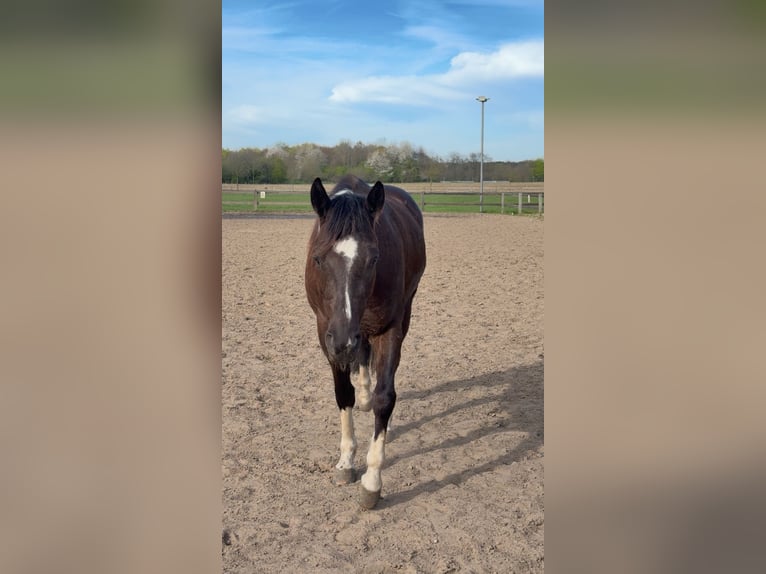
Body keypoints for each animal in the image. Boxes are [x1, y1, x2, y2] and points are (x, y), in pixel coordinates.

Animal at [304, 174, 426, 509]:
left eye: (374, 259)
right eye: (318, 259)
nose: (343, 340)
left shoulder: (389, 329)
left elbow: (385, 397)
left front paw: (372, 480)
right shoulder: (326, 331)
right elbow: (342, 393)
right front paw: (346, 461)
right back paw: (363, 395)